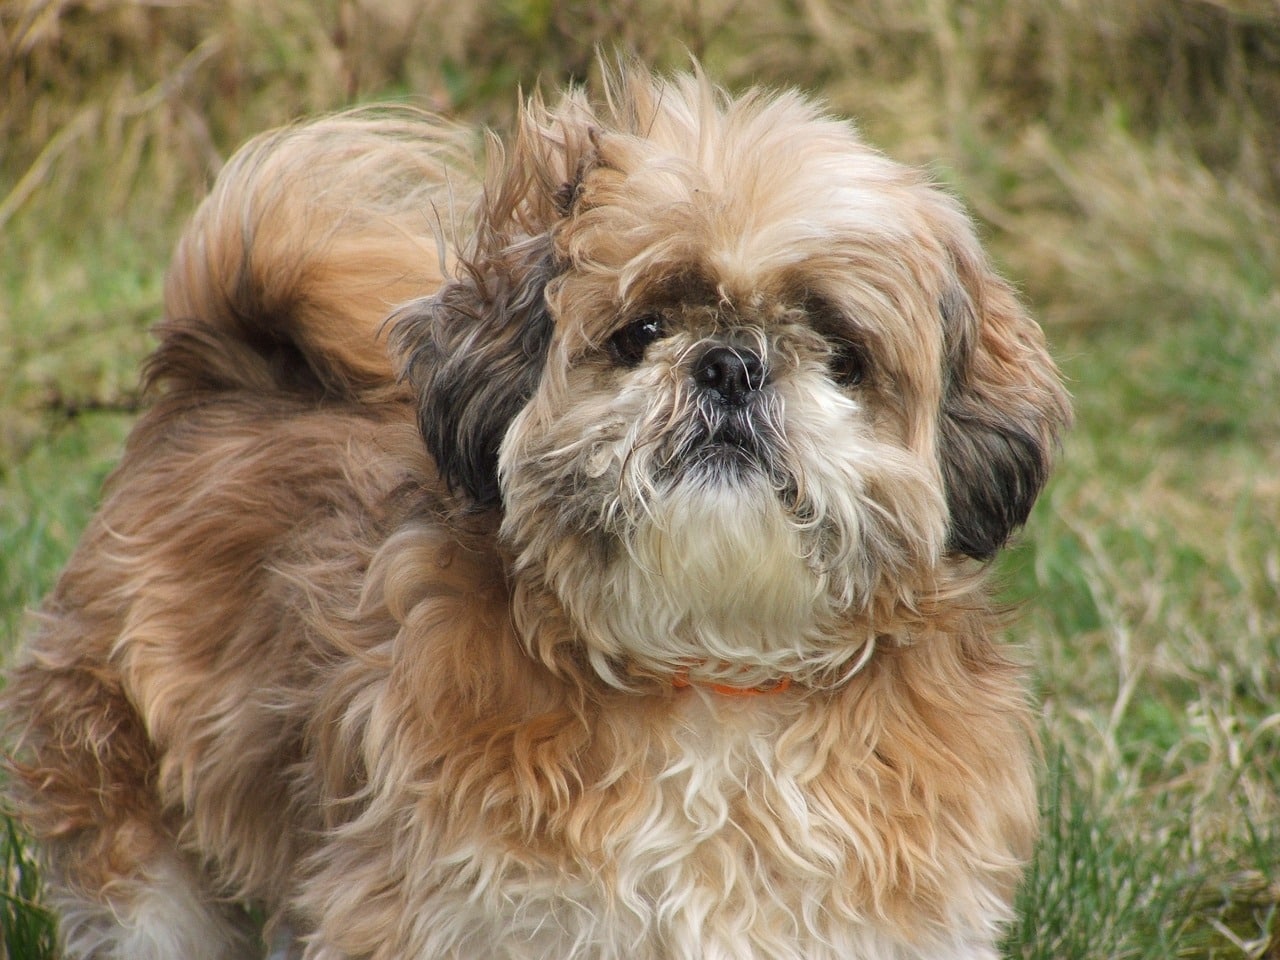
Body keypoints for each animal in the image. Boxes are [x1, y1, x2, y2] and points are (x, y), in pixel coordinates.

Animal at [2, 64, 1070, 957]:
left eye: (842, 354)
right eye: (643, 331)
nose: (731, 364)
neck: (711, 677)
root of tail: (224, 375)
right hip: (127, 817)